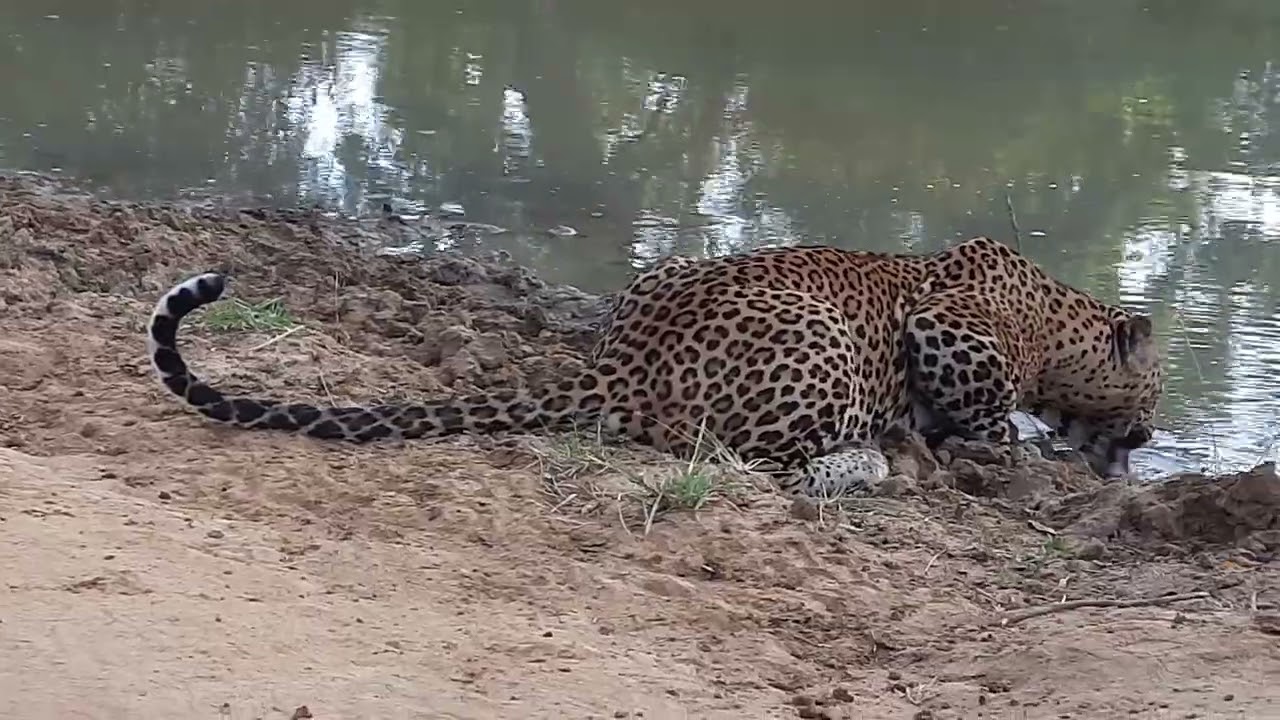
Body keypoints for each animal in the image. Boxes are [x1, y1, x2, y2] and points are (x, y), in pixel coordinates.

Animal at [147, 236, 1162, 497]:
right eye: (1155, 387)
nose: (1154, 434)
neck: (1057, 321)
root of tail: (626, 359)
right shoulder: (947, 330)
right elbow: (989, 412)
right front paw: (1006, 448)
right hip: (826, 352)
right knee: (754, 458)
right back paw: (869, 465)